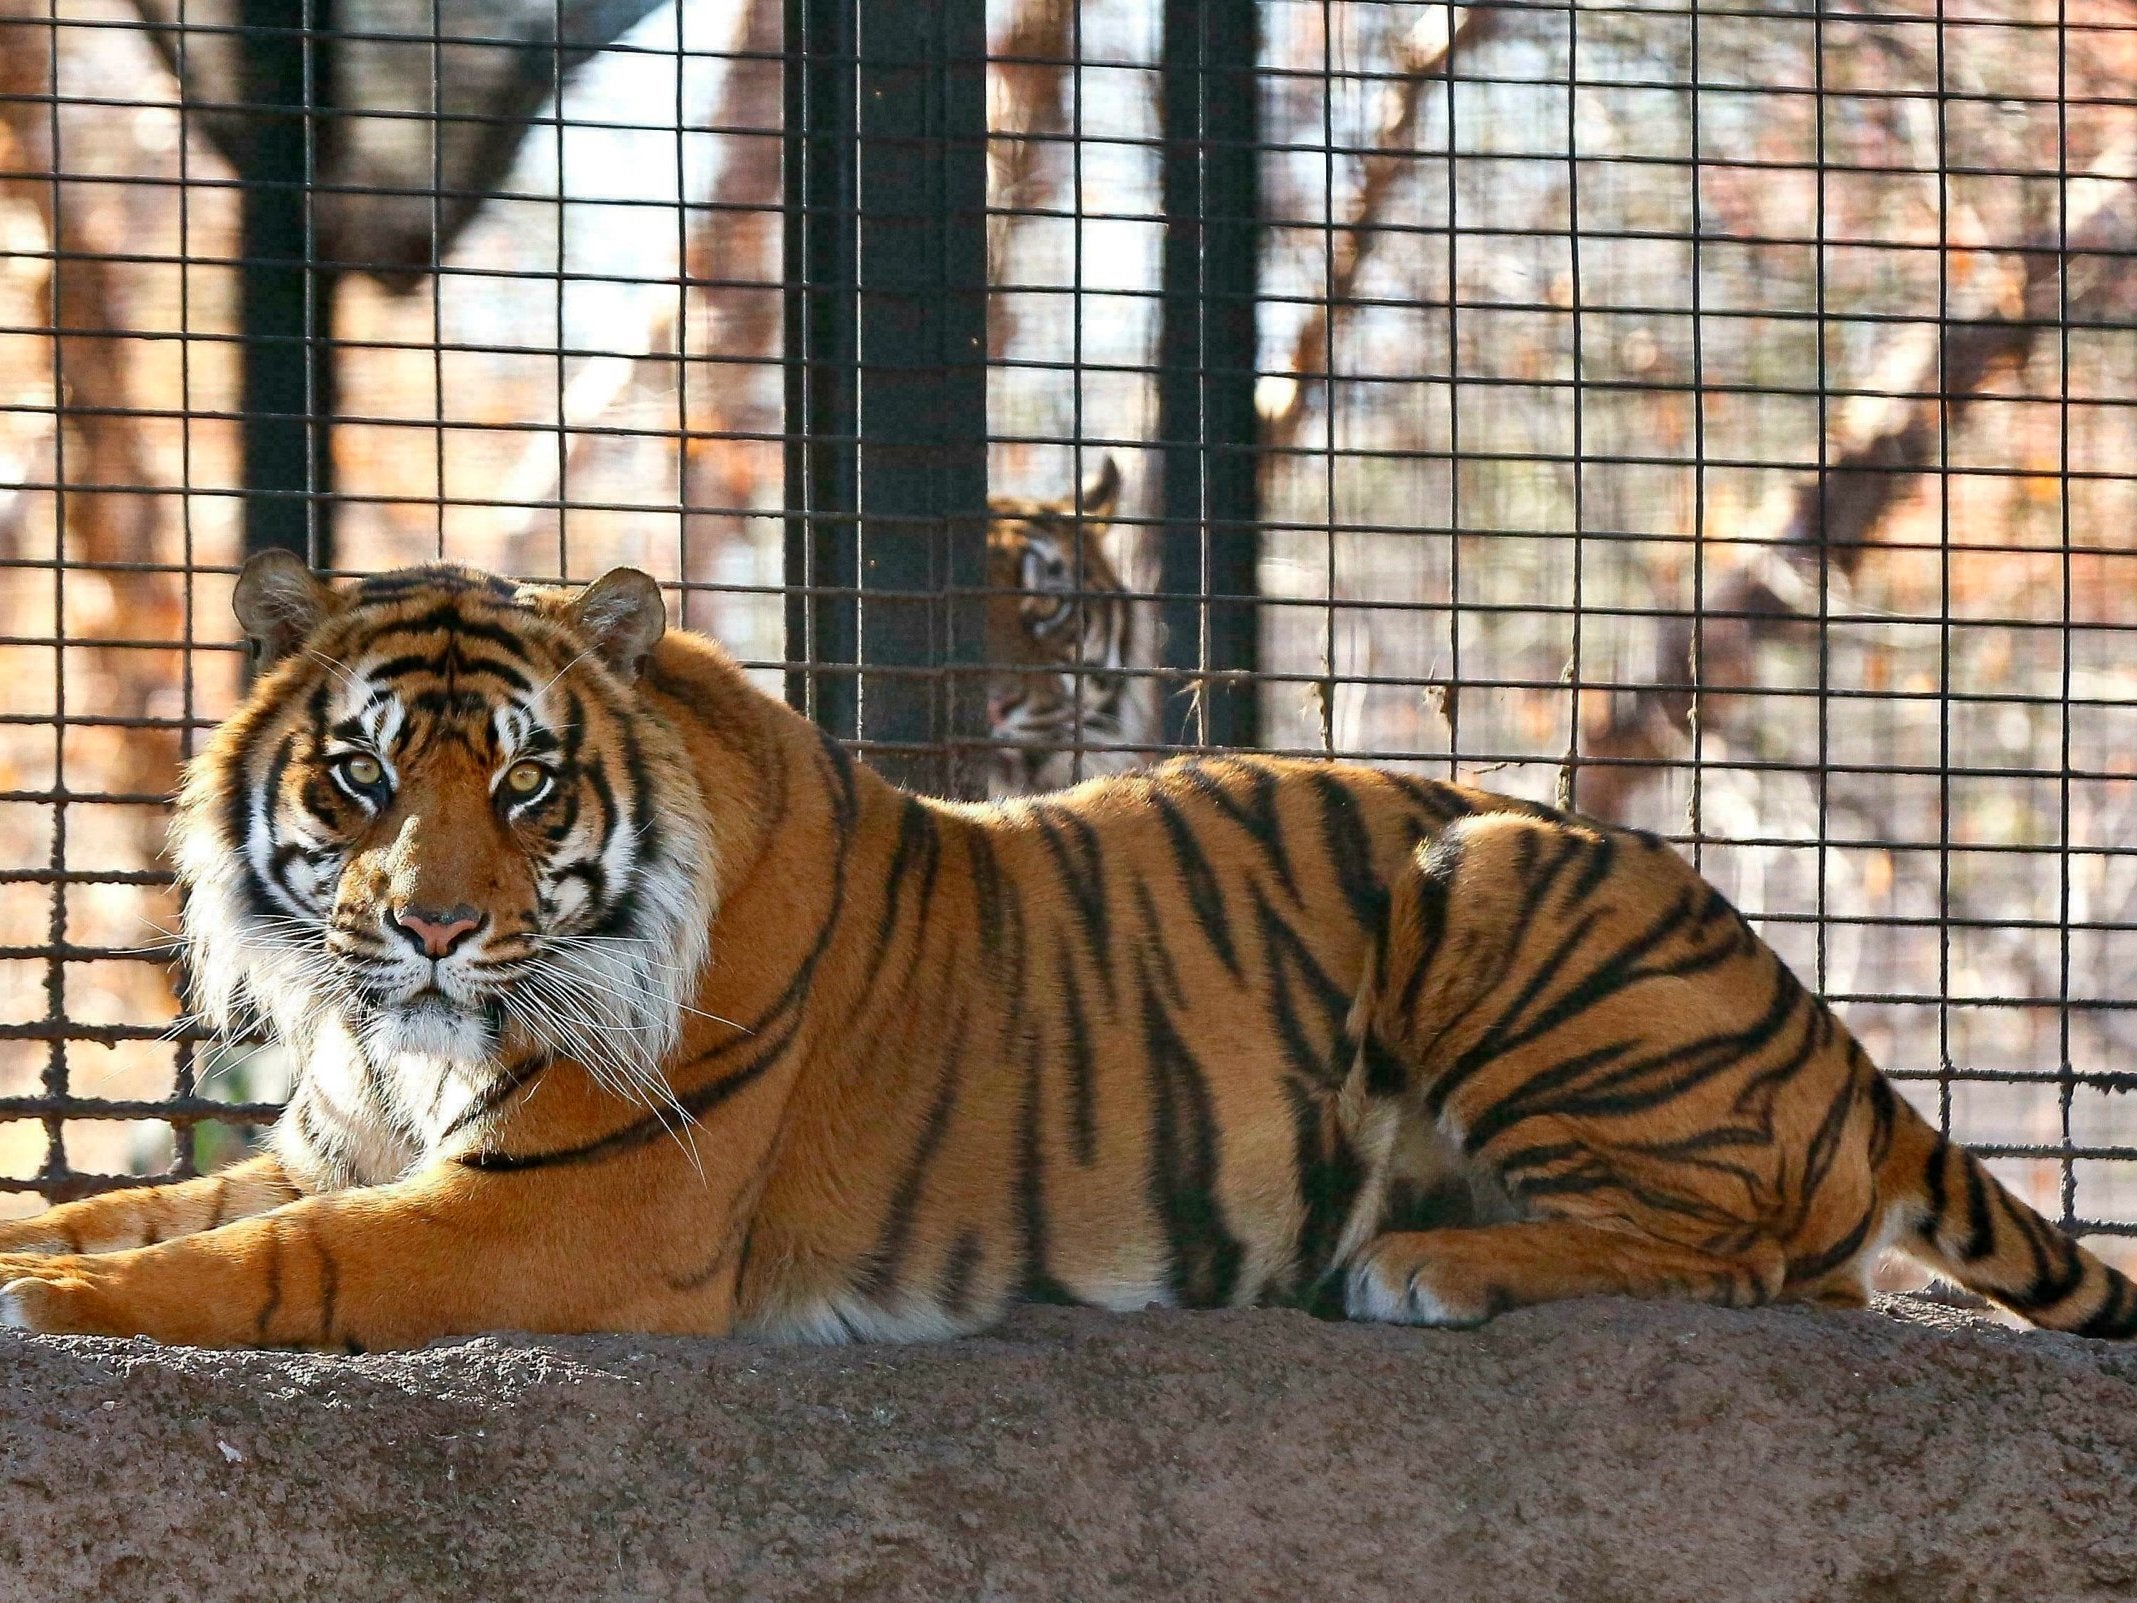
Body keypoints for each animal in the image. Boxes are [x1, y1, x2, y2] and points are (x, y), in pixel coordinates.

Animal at [0, 555, 2128, 1359]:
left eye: (526, 784)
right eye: (361, 773)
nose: (436, 922)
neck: (404, 1037)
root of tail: (1835, 1039)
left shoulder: (567, 1211)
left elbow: (271, 1263)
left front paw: (61, 1307)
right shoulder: (343, 1136)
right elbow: (157, 1205)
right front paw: (41, 1243)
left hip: (1496, 868)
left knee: (1774, 1251)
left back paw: (1432, 1261)